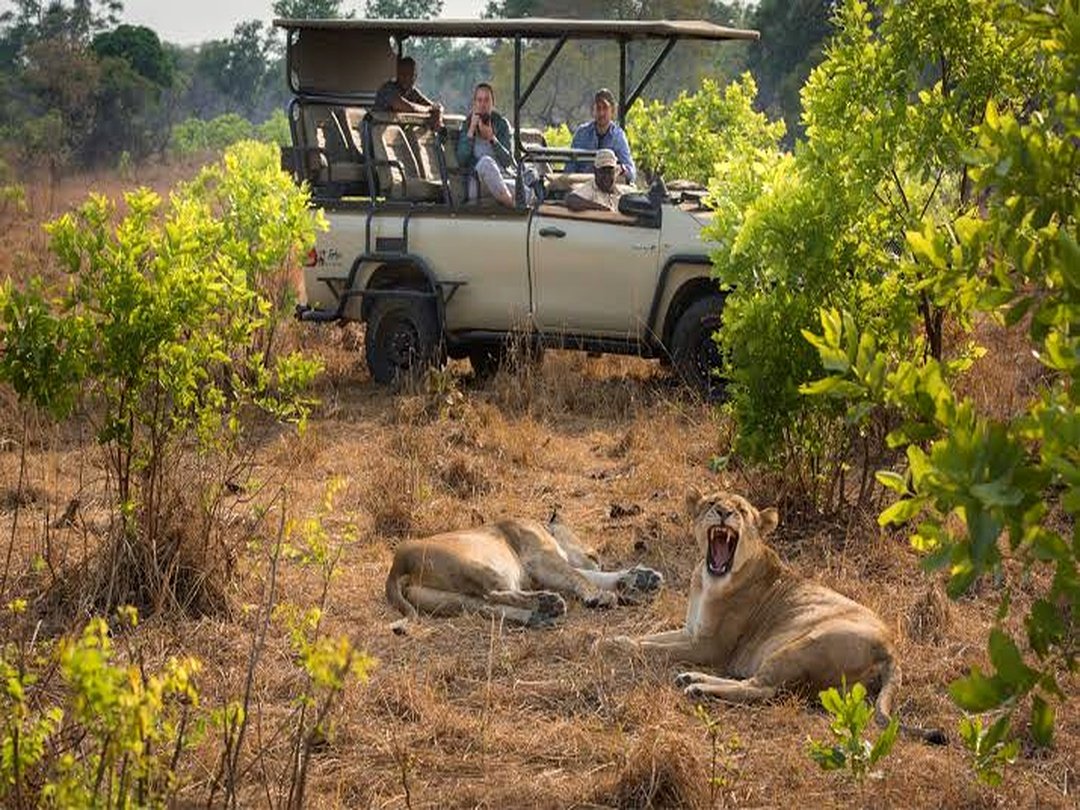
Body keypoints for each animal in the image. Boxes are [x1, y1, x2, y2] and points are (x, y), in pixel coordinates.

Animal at [386, 513, 663, 629]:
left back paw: (539, 617)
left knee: (490, 608)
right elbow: (579, 576)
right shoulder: (541, 562)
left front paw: (643, 577)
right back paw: (548, 604)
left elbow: (594, 576)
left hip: (453, 600)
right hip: (481, 566)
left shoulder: (543, 572)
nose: (598, 557)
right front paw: (600, 595)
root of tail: (398, 564)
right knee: (494, 594)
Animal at [608, 489, 946, 744]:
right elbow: (651, 639)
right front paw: (616, 637)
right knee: (757, 685)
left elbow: (653, 649)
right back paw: (691, 678)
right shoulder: (691, 632)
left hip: (803, 644)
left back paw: (697, 686)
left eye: (742, 510)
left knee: (761, 688)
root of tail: (891, 651)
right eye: (712, 502)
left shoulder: (710, 647)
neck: (708, 580)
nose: (723, 512)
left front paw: (608, 645)